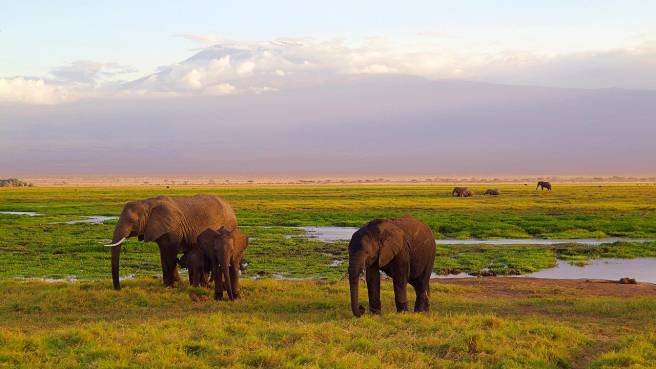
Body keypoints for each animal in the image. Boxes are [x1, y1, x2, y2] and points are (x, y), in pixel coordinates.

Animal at [102, 194, 236, 288]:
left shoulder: (173, 229)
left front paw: (170, 286)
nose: (119, 288)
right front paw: (172, 284)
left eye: (132, 221)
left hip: (228, 226)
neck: (147, 203)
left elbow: (170, 255)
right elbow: (164, 256)